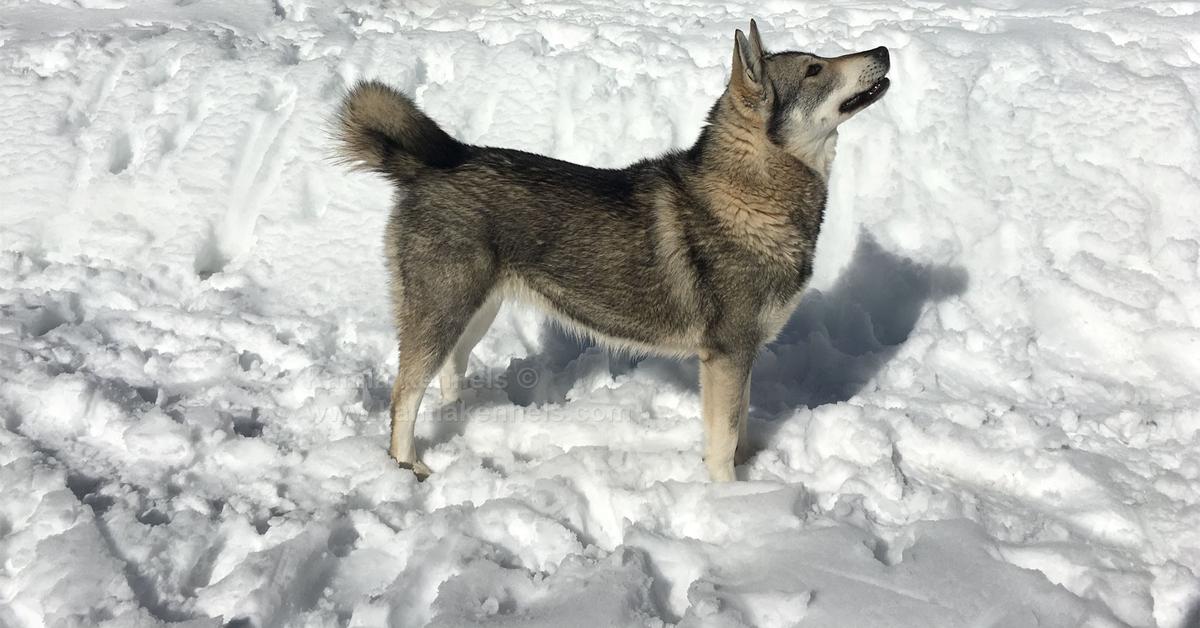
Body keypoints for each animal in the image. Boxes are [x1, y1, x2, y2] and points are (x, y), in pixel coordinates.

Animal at [338, 19, 892, 482]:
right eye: (815, 68)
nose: (884, 50)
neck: (750, 197)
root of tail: (429, 165)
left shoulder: (743, 354)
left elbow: (739, 431)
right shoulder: (726, 355)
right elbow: (722, 442)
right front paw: (731, 498)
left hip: (476, 311)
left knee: (450, 370)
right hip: (443, 310)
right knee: (405, 393)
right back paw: (408, 466)